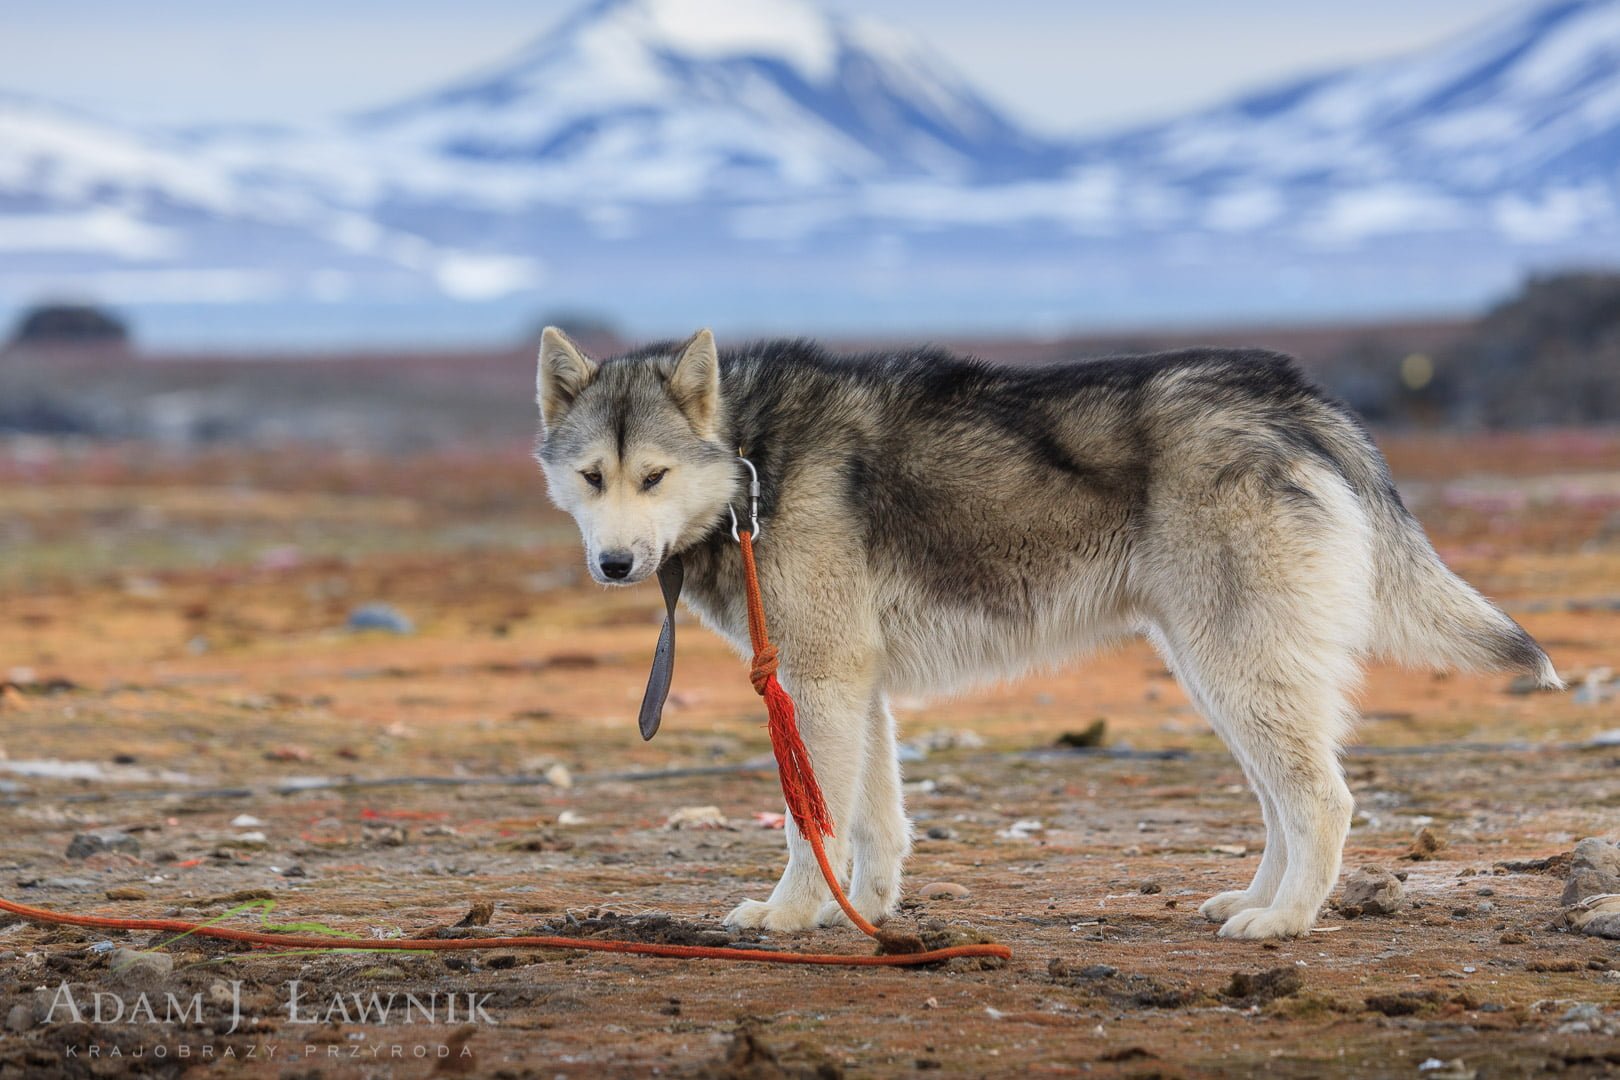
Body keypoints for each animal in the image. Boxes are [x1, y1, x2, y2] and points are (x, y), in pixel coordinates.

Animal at [531, 327, 1555, 939]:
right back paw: (1256, 900)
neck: (751, 461)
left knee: (1325, 801)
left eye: (654, 477)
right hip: (1224, 675)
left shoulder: (816, 684)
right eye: (592, 477)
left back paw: (1285, 922)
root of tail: (1290, 397)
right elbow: (874, 824)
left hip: (1238, 670)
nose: (615, 564)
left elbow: (806, 825)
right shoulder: (857, 687)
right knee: (1284, 804)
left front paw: (789, 917)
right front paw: (866, 913)